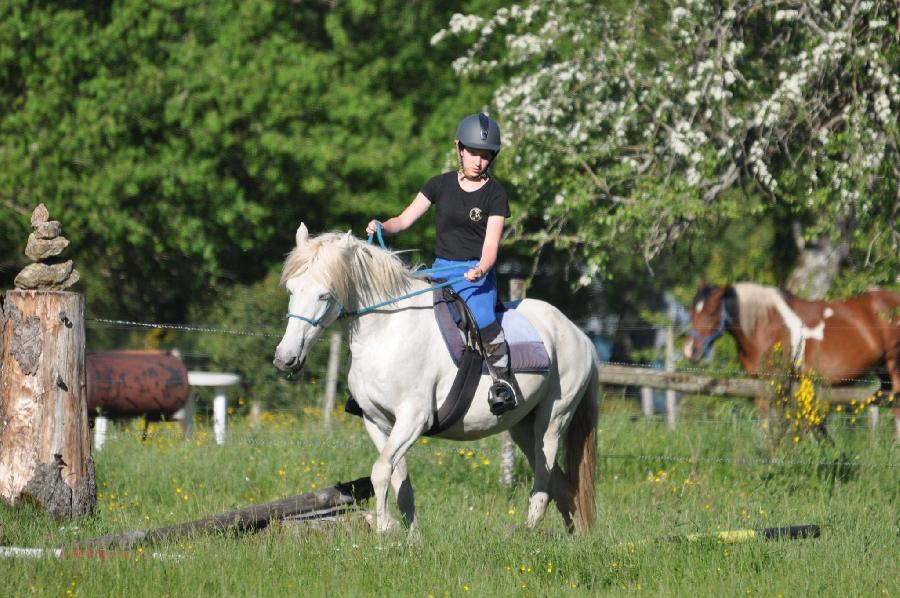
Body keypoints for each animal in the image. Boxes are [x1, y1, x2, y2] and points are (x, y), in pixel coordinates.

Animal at [274, 225, 596, 536]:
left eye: (324, 295)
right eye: (290, 290)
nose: (285, 358)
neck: (387, 330)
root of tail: (580, 335)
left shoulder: (414, 418)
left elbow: (381, 471)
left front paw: (384, 528)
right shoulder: (376, 420)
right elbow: (399, 480)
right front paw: (412, 538)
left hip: (552, 421)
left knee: (543, 483)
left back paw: (526, 534)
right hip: (522, 427)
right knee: (561, 486)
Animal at [684, 284, 900, 434]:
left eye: (711, 312)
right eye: (692, 312)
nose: (690, 351)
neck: (765, 323)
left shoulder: (776, 382)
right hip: (884, 373)